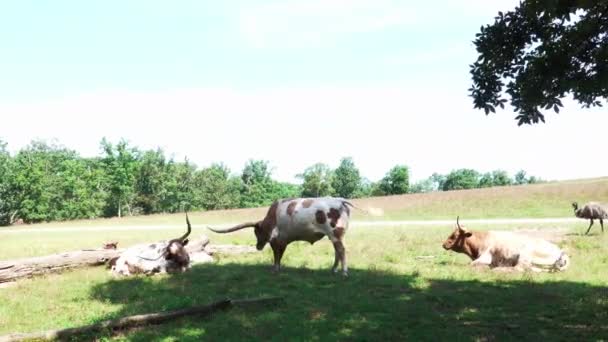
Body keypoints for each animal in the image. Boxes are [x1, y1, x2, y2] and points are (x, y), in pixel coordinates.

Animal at [208, 198, 356, 276]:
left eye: (257, 232)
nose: (258, 247)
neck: (272, 217)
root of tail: (340, 201)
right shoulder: (283, 241)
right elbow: (281, 254)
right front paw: (278, 268)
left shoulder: (275, 240)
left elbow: (276, 255)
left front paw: (275, 269)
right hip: (334, 236)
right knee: (337, 251)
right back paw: (333, 269)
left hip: (335, 234)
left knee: (341, 250)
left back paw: (344, 272)